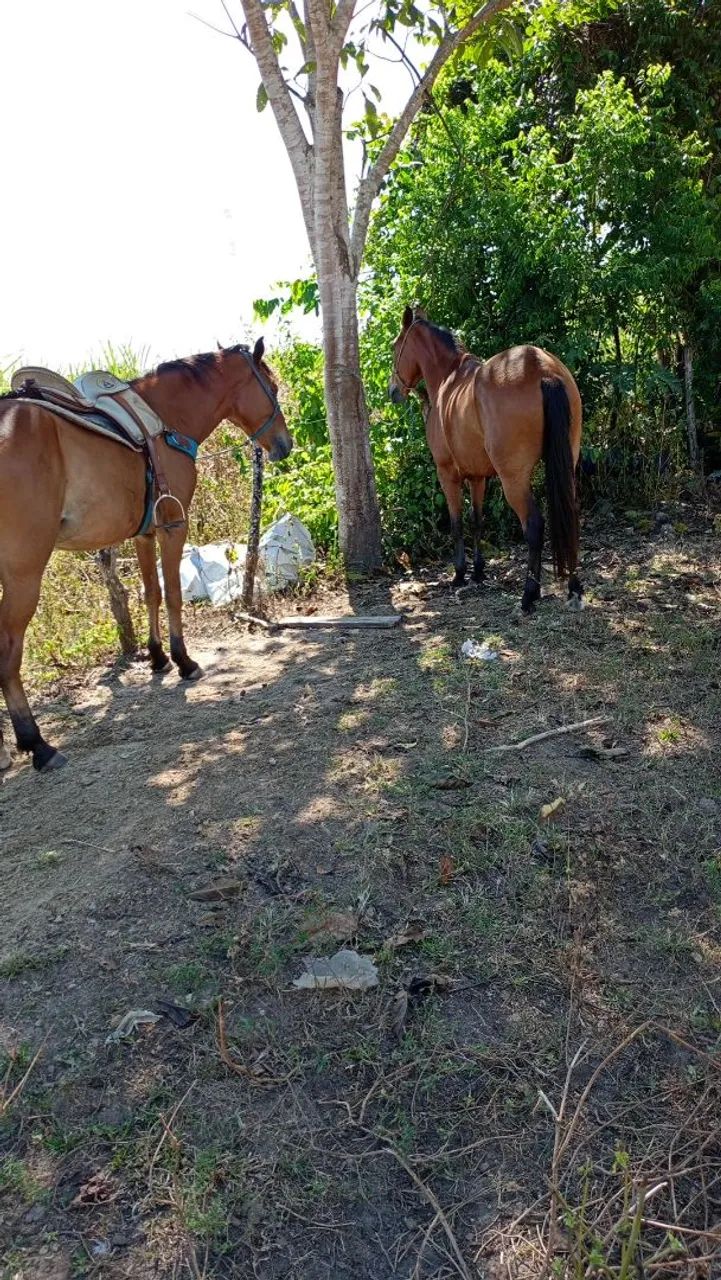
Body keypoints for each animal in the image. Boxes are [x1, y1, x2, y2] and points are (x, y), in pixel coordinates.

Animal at [0, 339, 292, 773]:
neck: (165, 419)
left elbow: (150, 593)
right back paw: (36, 743)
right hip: (23, 572)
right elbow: (172, 594)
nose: (285, 444)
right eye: (270, 386)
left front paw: (156, 657)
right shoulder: (174, 528)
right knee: (8, 651)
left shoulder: (144, 533)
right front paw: (183, 660)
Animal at [389, 307, 583, 614]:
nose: (393, 391)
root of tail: (543, 370)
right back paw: (574, 589)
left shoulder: (447, 474)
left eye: (396, 347)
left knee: (534, 525)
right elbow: (477, 520)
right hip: (567, 467)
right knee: (570, 513)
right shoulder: (478, 476)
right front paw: (478, 571)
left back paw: (529, 595)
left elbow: (456, 522)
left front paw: (459, 573)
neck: (448, 379)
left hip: (513, 480)